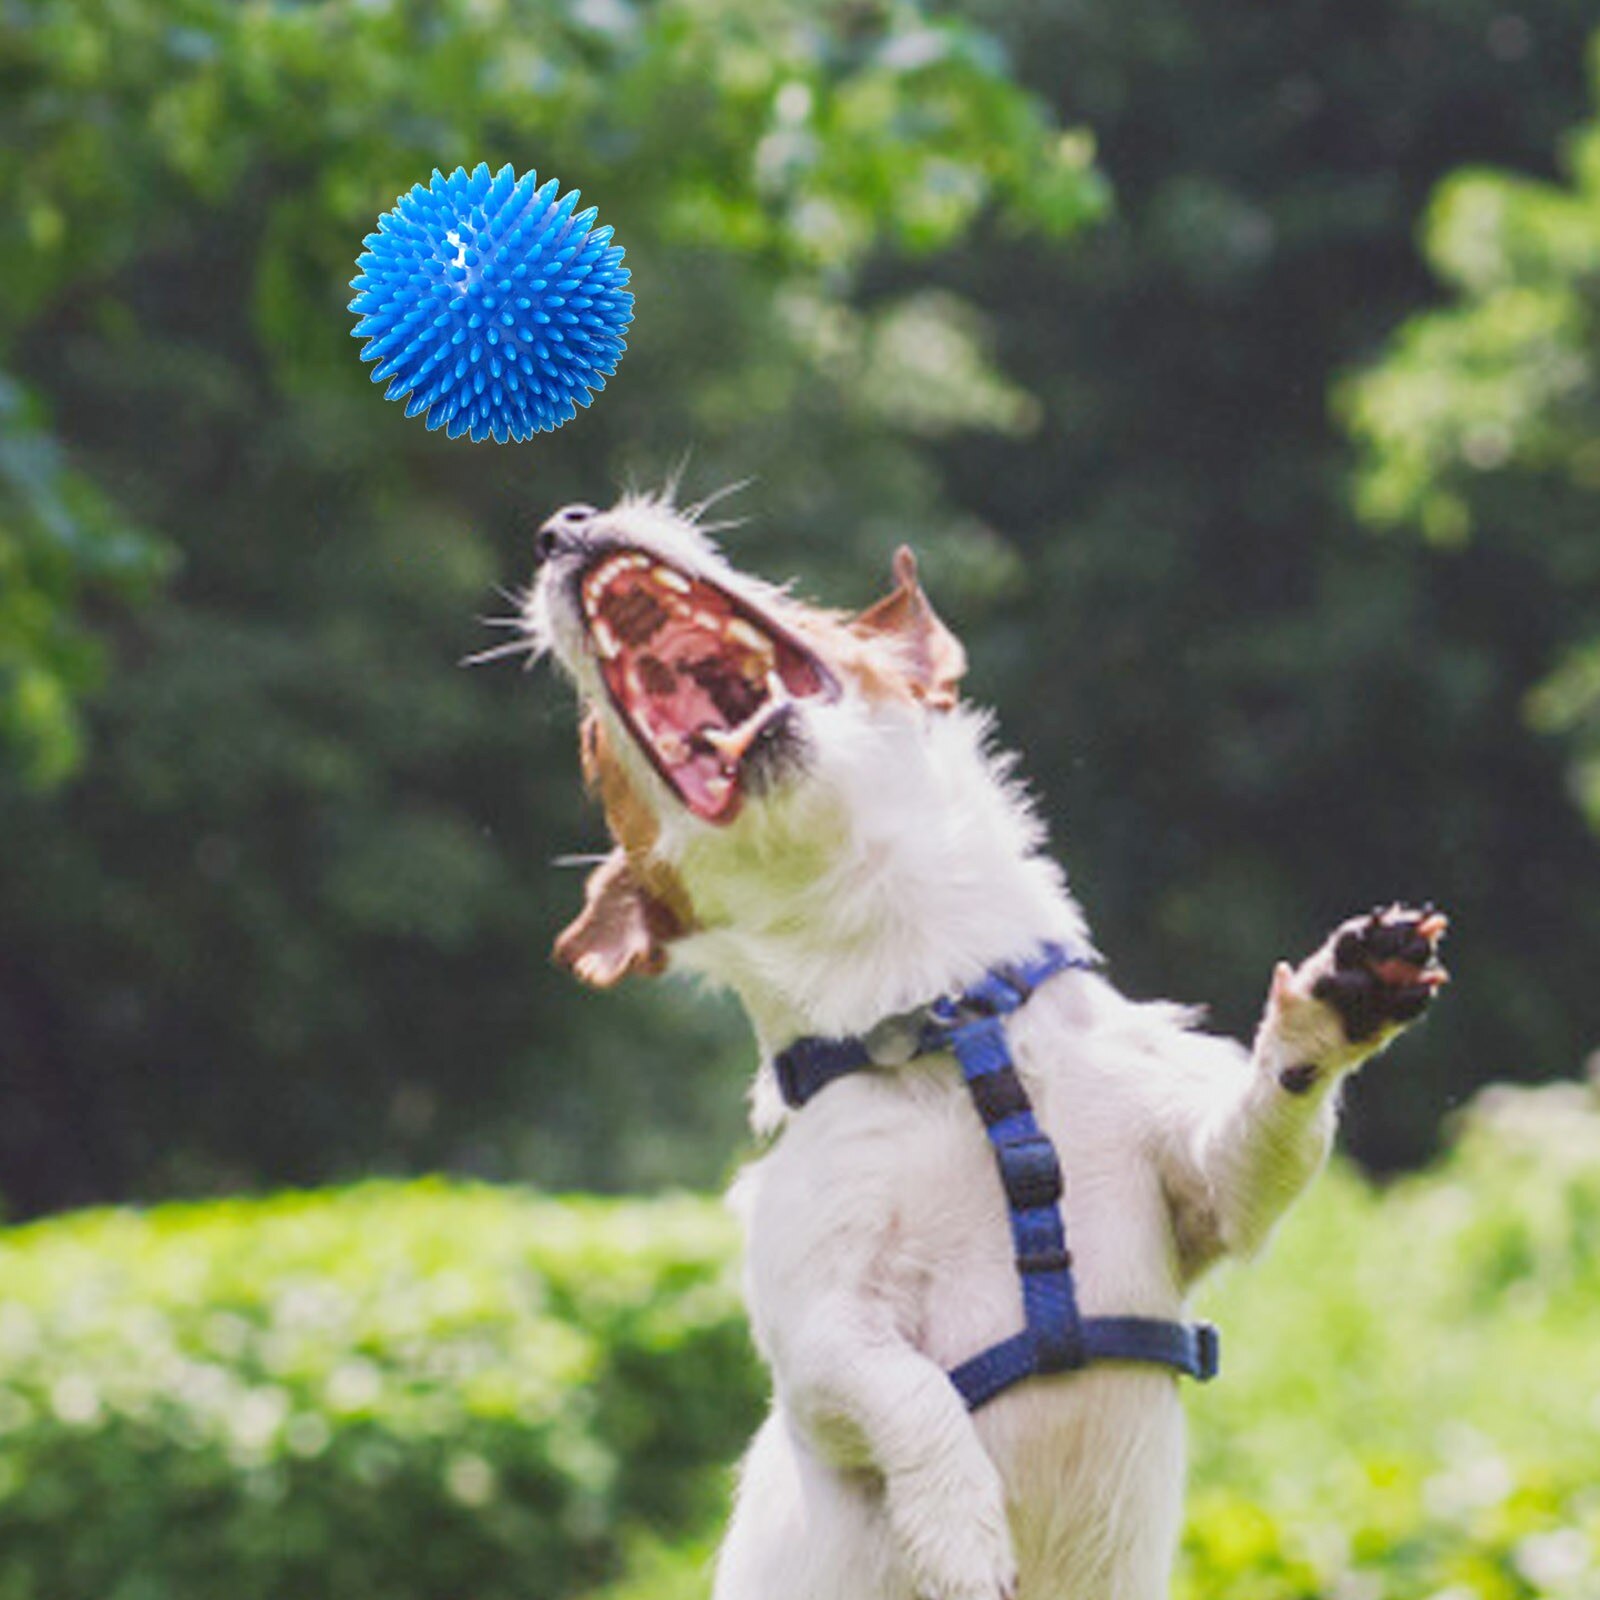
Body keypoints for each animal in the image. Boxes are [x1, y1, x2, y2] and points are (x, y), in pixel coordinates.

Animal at [518, 492, 1446, 1593]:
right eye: (591, 751)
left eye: (798, 599)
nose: (559, 527)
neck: (952, 1023)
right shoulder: (817, 1334)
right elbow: (905, 1390)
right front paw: (958, 1527)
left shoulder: (1206, 1191)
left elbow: (1265, 1134)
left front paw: (1338, 997)